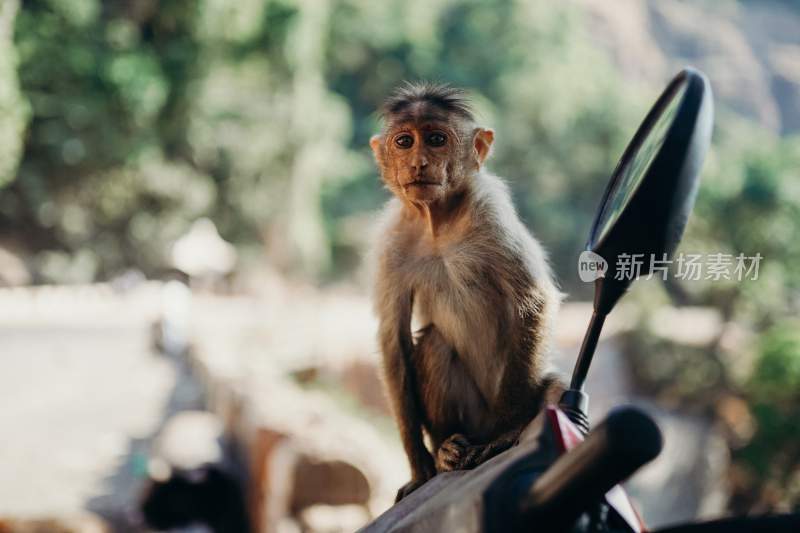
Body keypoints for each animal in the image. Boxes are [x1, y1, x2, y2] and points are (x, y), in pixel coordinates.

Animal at [370, 81, 564, 500]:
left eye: (436, 139)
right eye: (405, 141)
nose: (418, 163)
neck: (438, 221)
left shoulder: (489, 212)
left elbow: (533, 301)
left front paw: (510, 430)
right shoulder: (390, 239)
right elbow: (393, 336)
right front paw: (420, 468)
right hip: (470, 416)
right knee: (434, 343)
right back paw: (447, 449)